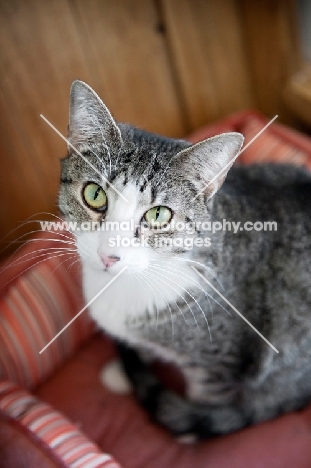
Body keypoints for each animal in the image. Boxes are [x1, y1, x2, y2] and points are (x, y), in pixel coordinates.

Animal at [58, 79, 311, 436]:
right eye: (94, 194)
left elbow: (207, 400)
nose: (108, 256)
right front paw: (125, 368)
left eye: (159, 215)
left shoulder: (218, 364)